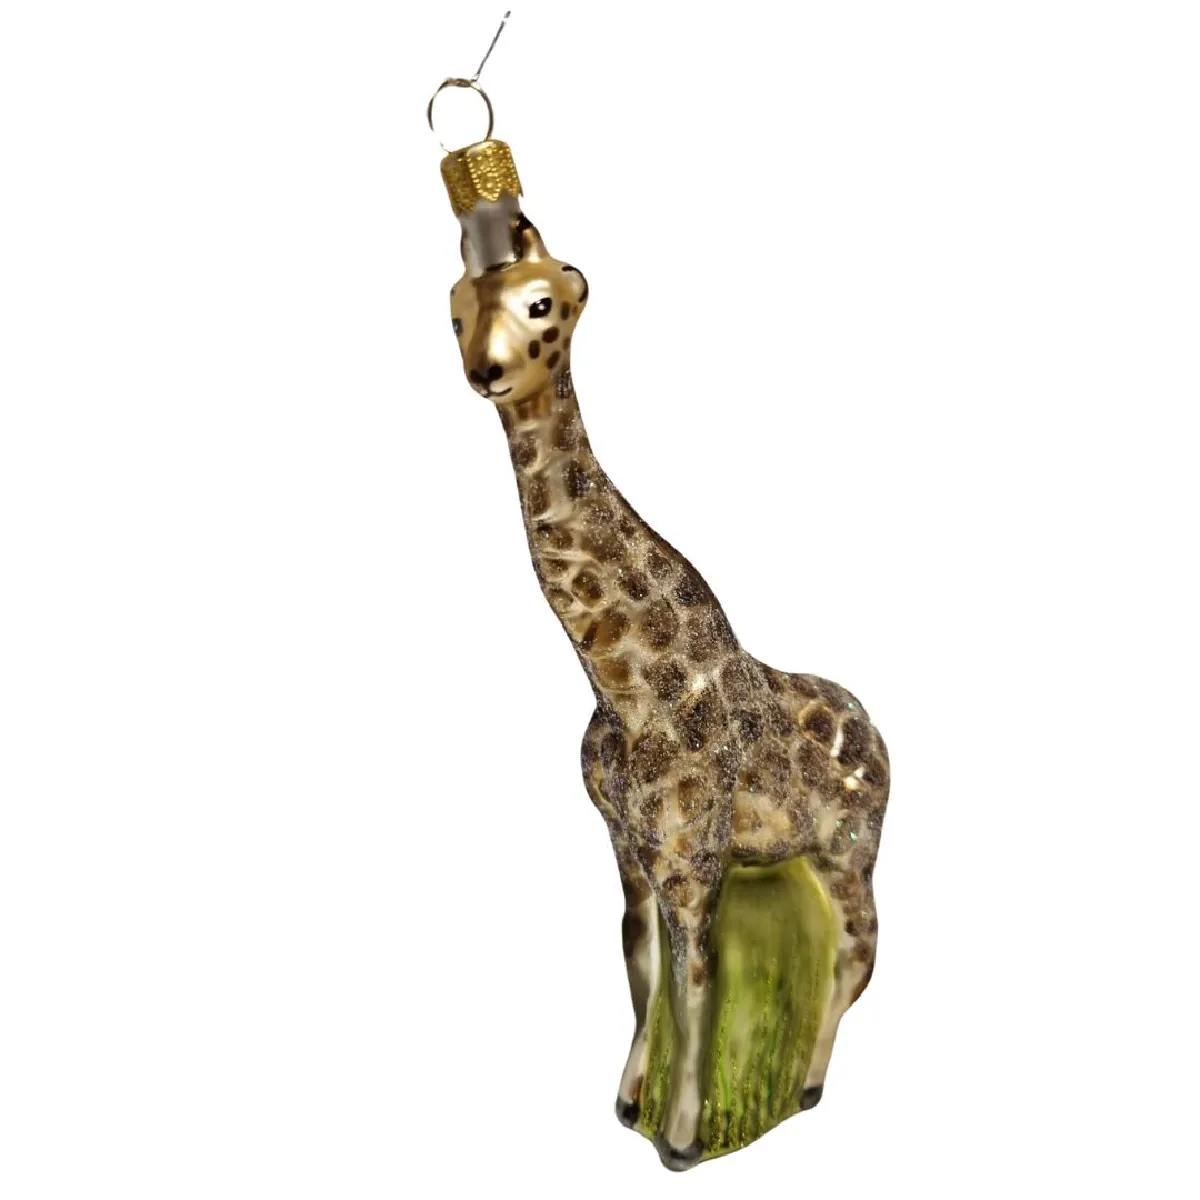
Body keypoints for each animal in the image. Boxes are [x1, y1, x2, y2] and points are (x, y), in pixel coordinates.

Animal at [448, 213, 889, 1170]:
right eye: (456, 309)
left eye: (542, 304)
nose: (487, 371)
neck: (623, 686)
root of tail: (882, 734)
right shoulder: (625, 842)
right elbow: (639, 967)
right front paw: (628, 1103)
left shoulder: (692, 858)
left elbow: (696, 983)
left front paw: (683, 1139)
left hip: (850, 850)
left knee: (859, 955)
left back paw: (807, 1088)